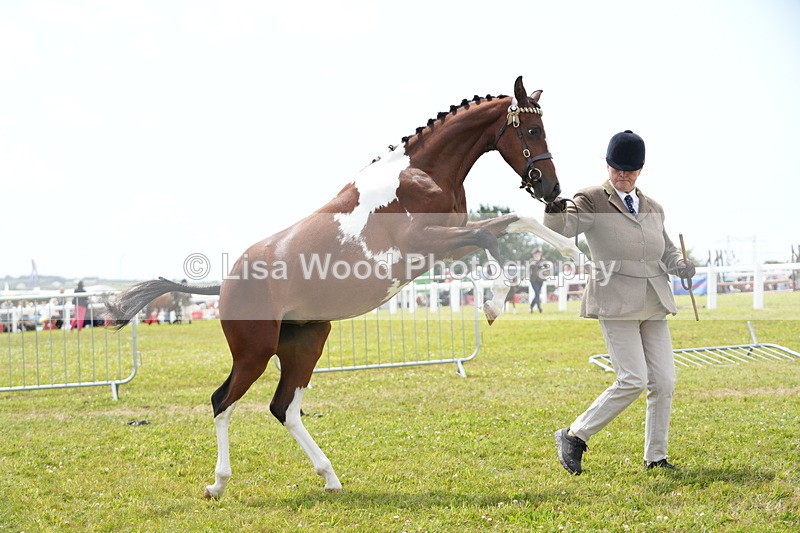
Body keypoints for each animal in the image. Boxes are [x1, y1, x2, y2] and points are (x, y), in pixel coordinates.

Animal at [106, 76, 581, 498]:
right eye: (532, 130)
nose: (551, 187)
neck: (420, 174)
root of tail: (225, 285)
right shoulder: (425, 243)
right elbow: (489, 236)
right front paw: (495, 303)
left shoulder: (446, 243)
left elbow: (514, 222)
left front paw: (573, 255)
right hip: (254, 351)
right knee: (223, 401)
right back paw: (218, 484)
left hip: (306, 343)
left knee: (283, 407)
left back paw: (329, 477)